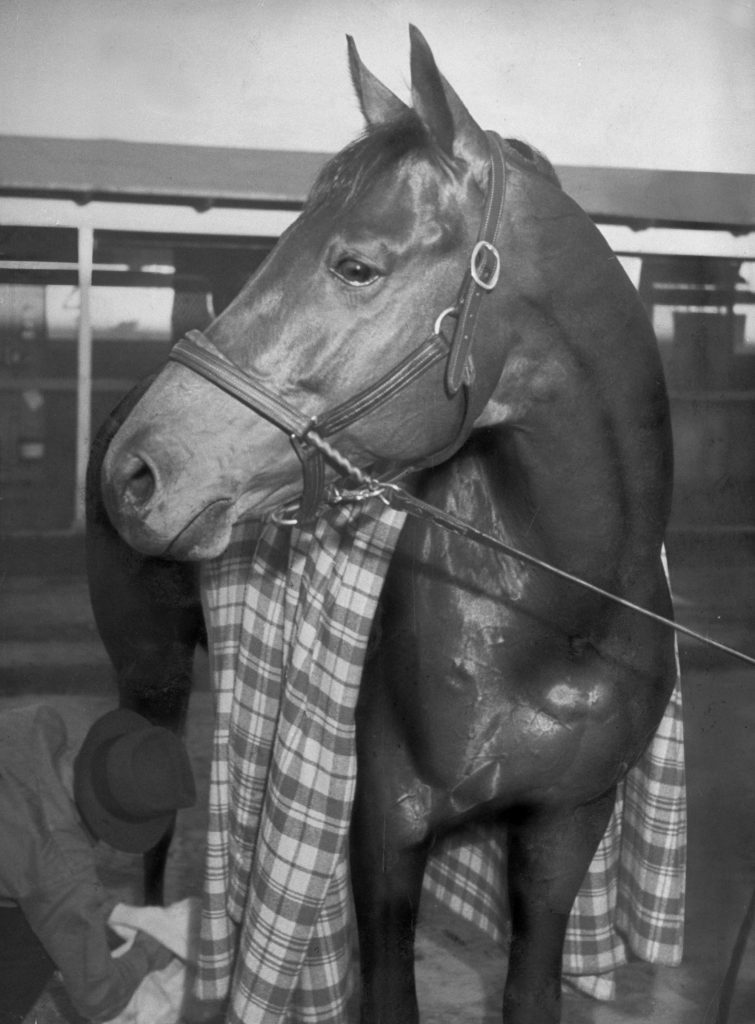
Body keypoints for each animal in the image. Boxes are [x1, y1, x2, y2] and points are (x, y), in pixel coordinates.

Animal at [91, 25, 676, 1024]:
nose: (134, 473)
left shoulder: (563, 832)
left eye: (355, 266)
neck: (555, 618)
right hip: (152, 680)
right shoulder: (384, 832)